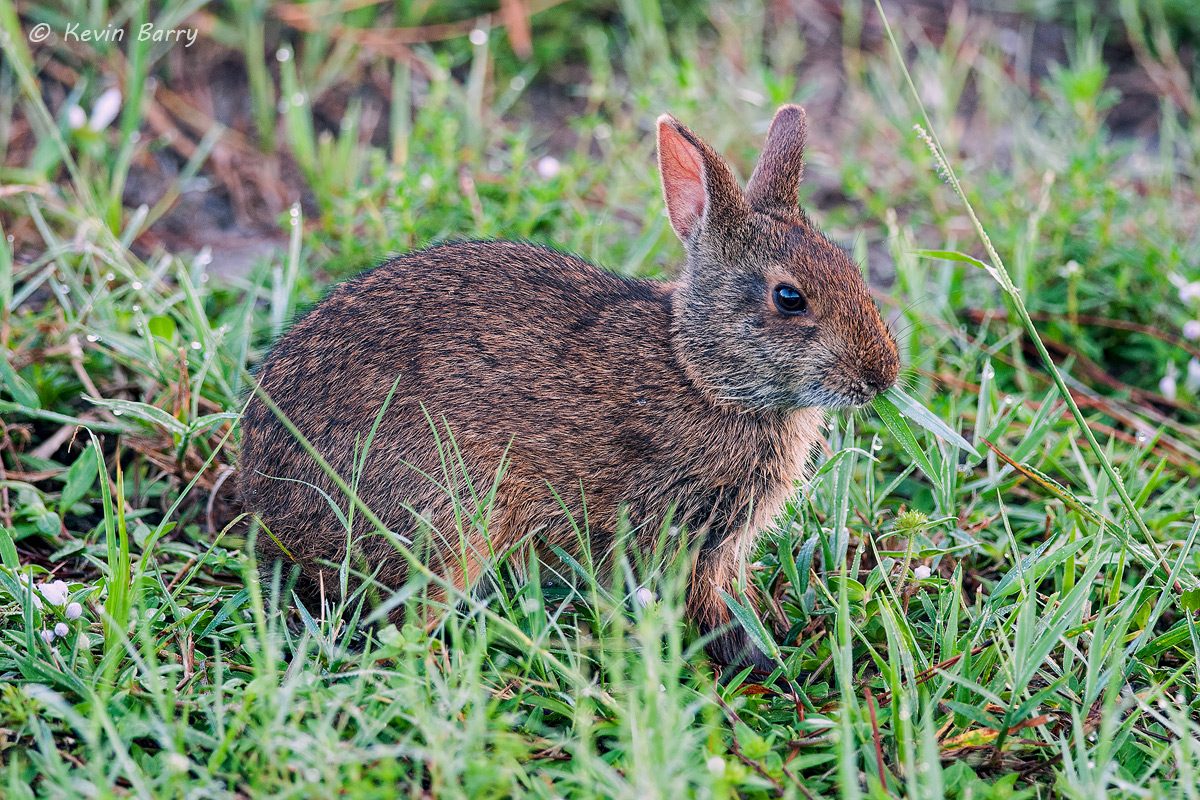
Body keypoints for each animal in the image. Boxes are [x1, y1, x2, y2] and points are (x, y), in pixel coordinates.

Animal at [238, 103, 902, 671]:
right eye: (789, 298)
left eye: (851, 269)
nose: (882, 376)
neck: (701, 373)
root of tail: (271, 511)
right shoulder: (677, 526)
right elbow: (704, 601)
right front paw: (756, 655)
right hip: (451, 515)